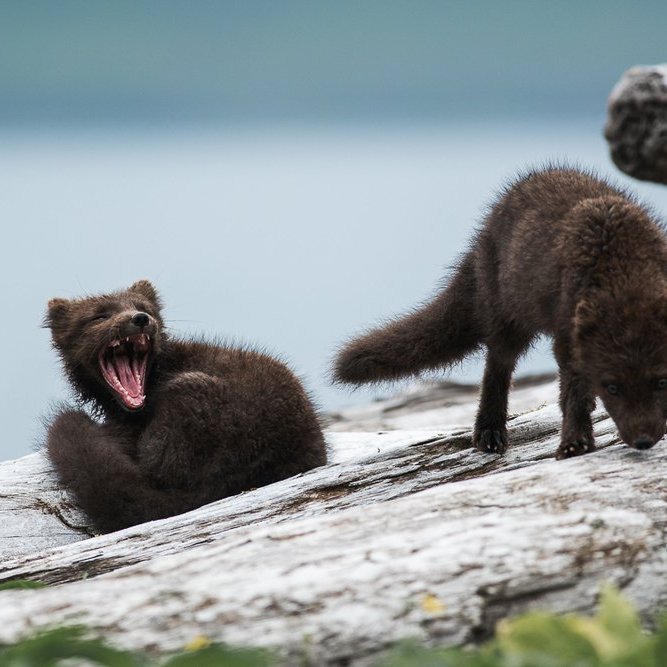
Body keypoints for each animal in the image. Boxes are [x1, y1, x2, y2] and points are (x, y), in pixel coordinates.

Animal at [333, 167, 667, 459]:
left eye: (661, 382)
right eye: (612, 387)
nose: (643, 440)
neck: (621, 262)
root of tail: (481, 234)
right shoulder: (566, 334)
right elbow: (574, 394)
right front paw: (574, 445)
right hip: (503, 313)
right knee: (497, 366)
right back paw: (489, 434)